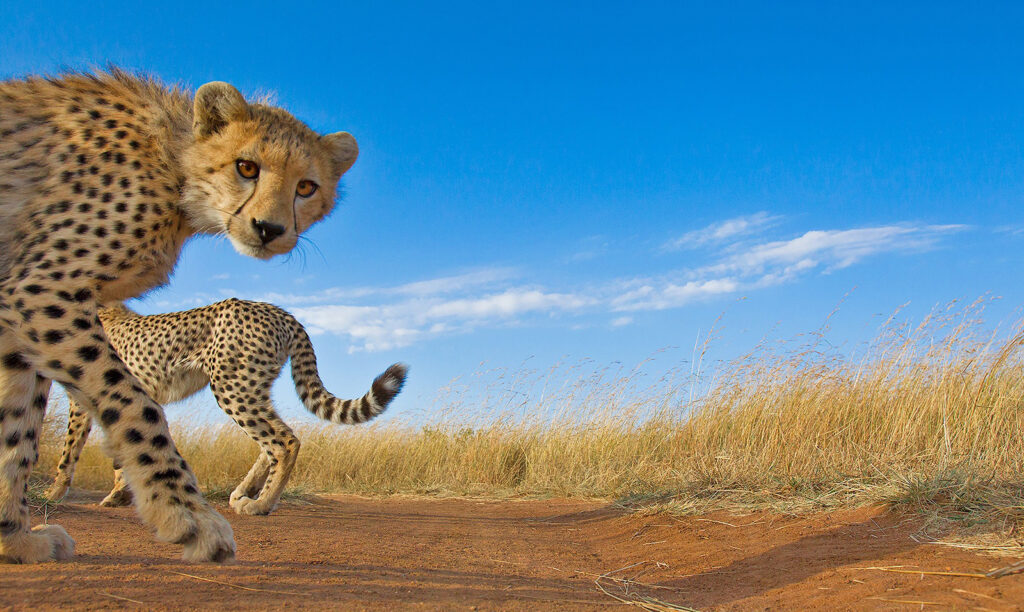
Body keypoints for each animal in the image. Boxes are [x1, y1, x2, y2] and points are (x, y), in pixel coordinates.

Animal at [43, 299, 406, 516]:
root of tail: (280, 312)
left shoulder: (84, 402)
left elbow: (69, 452)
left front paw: (53, 493)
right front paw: (119, 494)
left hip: (232, 387)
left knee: (284, 441)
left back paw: (261, 504)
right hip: (250, 386)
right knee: (272, 440)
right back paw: (244, 493)